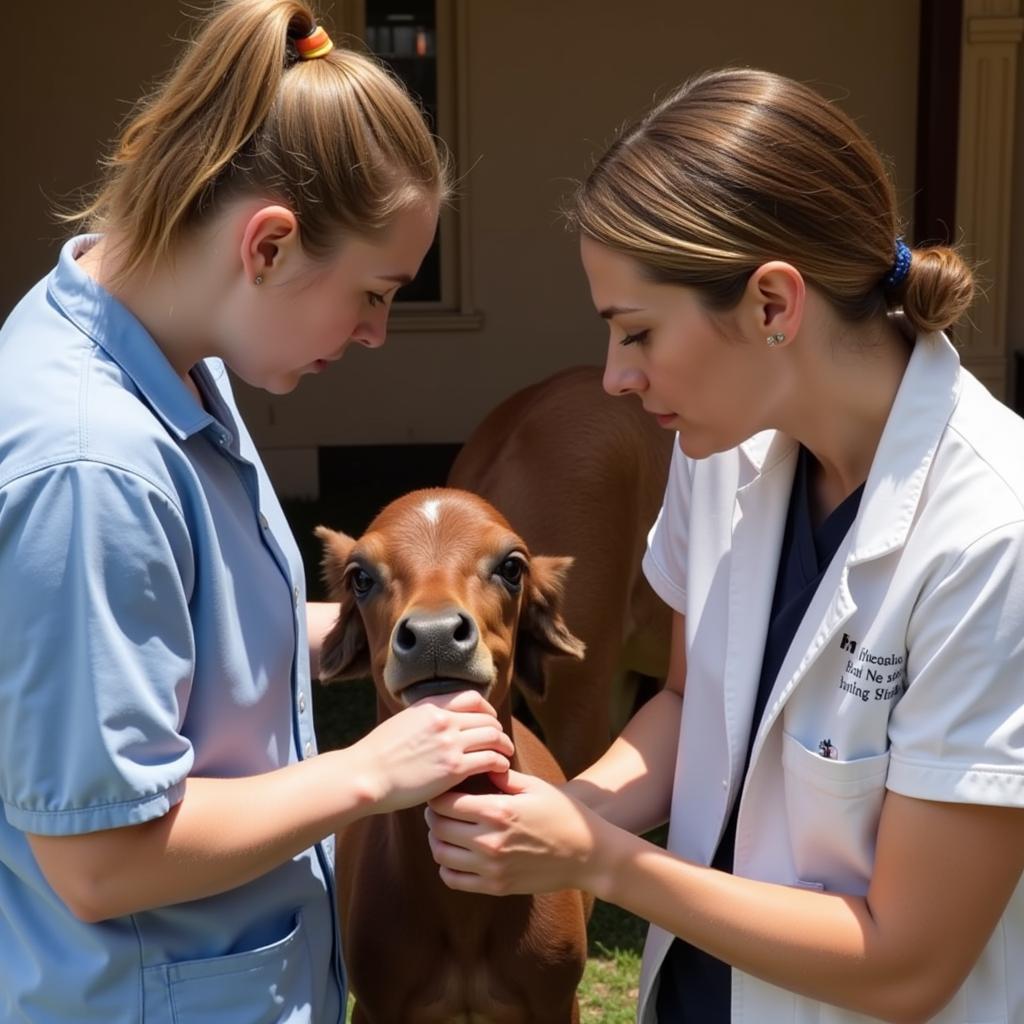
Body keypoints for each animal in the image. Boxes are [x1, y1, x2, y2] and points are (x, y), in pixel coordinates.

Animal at [319, 491, 593, 1019]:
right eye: (360, 576)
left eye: (512, 566)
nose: (435, 634)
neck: (465, 921)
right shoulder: (376, 1005)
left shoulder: (557, 999)